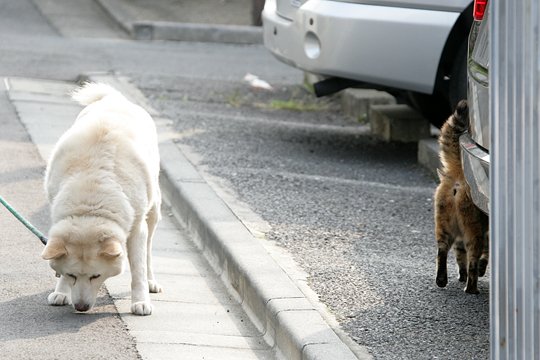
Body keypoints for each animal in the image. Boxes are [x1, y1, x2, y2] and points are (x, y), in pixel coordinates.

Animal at [42, 82, 162, 316]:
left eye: (95, 276)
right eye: (71, 275)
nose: (80, 307)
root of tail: (116, 99)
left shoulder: (137, 228)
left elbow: (138, 268)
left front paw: (140, 301)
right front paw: (61, 291)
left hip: (153, 212)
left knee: (149, 253)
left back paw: (151, 281)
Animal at [434, 100, 490, 294]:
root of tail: (459, 174)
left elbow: (460, 256)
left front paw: (461, 275)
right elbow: (484, 256)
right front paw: (479, 270)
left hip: (444, 223)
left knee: (442, 250)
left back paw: (442, 279)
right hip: (473, 229)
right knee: (472, 257)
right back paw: (471, 287)